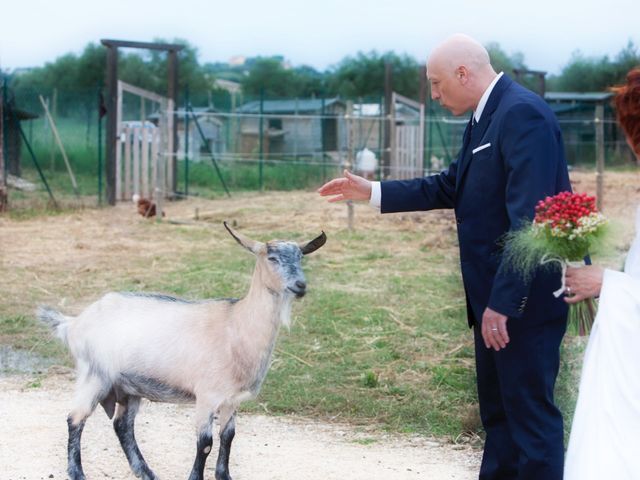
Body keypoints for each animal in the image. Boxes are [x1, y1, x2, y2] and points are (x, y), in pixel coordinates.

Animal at [37, 223, 328, 480]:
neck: (236, 323)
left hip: (129, 387)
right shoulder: (207, 395)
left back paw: (147, 473)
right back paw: (78, 473)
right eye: (272, 258)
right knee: (75, 419)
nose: (300, 285)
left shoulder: (231, 400)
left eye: (301, 257)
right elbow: (205, 443)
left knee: (122, 426)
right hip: (94, 374)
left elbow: (228, 437)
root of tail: (74, 322)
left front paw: (224, 476)